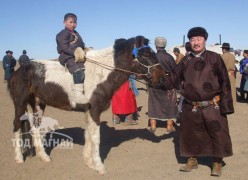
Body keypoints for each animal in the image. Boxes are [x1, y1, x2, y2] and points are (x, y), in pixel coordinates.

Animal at [8, 35, 167, 174]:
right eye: (145, 53)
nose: (161, 78)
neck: (101, 73)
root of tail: (19, 71)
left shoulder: (89, 111)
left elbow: (89, 135)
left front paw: (89, 162)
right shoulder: (95, 110)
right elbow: (96, 137)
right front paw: (99, 166)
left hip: (38, 104)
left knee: (35, 128)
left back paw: (44, 157)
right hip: (20, 104)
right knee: (17, 125)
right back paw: (18, 157)